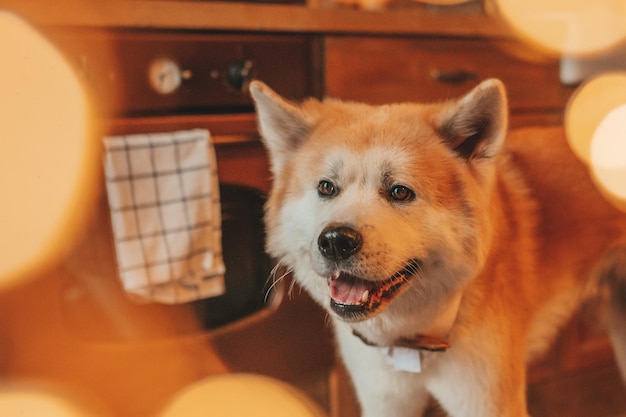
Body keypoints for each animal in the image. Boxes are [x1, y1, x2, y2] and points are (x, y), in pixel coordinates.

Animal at [249, 79, 624, 416]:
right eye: (326, 188)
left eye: (400, 192)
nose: (335, 241)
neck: (412, 341)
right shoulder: (386, 402)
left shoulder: (487, 402)